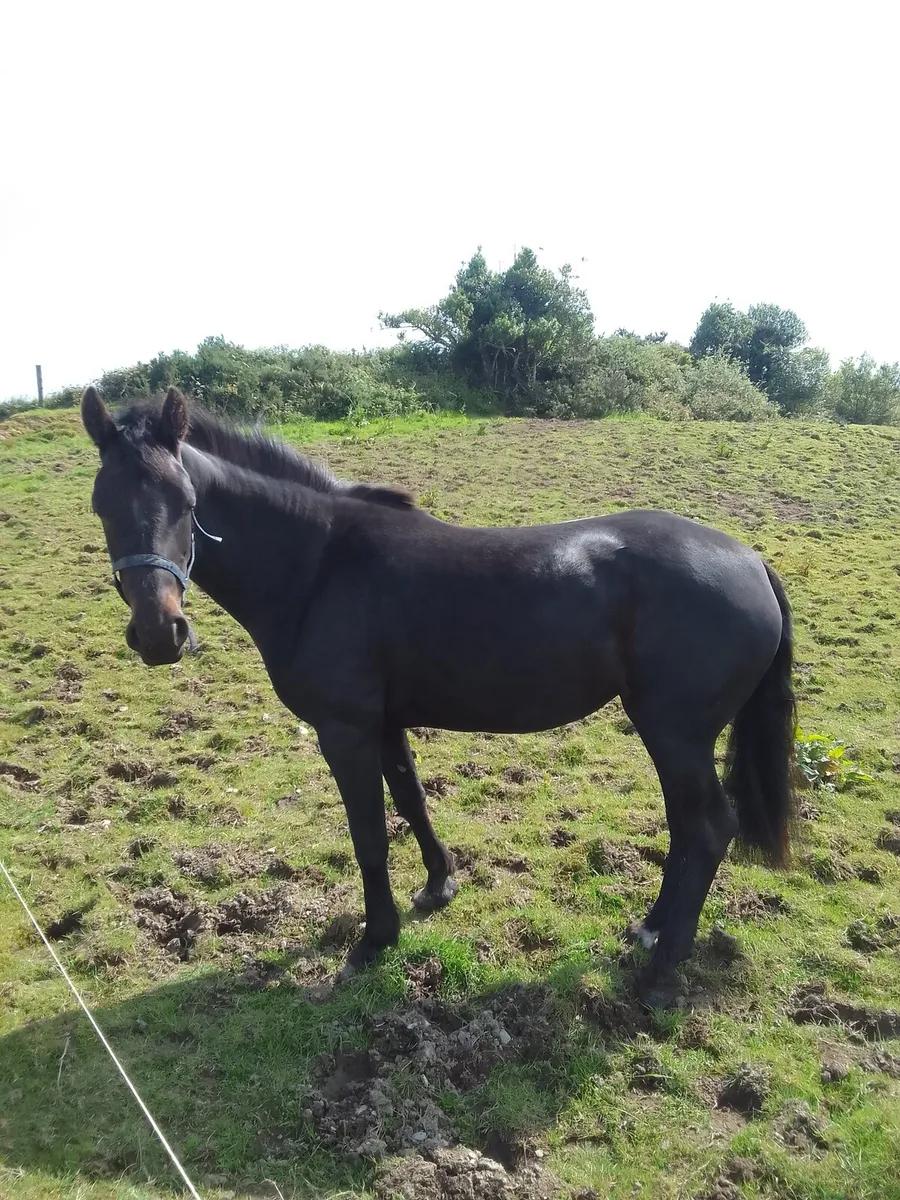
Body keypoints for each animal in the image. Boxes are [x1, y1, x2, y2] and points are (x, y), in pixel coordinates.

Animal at [80, 385, 796, 1007]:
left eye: (186, 500)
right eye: (101, 505)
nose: (159, 632)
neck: (319, 564)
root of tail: (752, 560)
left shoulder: (344, 730)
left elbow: (369, 833)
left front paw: (375, 940)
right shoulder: (383, 723)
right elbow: (411, 799)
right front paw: (437, 886)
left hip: (675, 733)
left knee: (708, 828)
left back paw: (662, 971)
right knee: (686, 828)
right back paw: (650, 929)